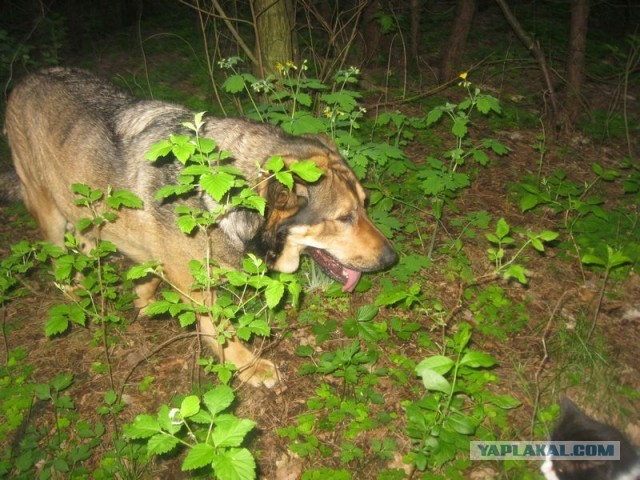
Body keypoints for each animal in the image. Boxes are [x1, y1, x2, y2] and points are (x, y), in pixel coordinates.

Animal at [2, 67, 398, 388]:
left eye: (365, 205)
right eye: (343, 217)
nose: (392, 259)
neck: (217, 195)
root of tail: (28, 78)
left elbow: (150, 274)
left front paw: (144, 298)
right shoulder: (198, 286)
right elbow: (223, 331)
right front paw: (251, 367)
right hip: (49, 211)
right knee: (60, 263)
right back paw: (76, 300)